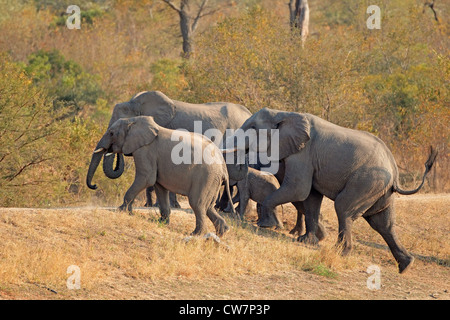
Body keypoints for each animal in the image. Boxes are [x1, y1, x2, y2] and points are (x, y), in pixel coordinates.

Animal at [88, 116, 236, 236]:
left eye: (111, 133)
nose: (95, 186)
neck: (134, 120)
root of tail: (223, 165)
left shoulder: (146, 150)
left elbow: (146, 179)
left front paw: (122, 210)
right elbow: (159, 186)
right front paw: (161, 222)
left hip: (206, 177)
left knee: (197, 203)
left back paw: (196, 234)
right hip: (213, 180)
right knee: (208, 206)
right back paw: (223, 232)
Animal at [223, 107, 438, 272]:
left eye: (252, 128)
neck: (283, 114)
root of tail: (394, 170)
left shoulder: (304, 153)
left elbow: (298, 189)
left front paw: (266, 226)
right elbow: (310, 197)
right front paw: (306, 241)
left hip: (367, 181)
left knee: (344, 208)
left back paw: (340, 252)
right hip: (379, 189)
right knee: (382, 223)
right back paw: (406, 265)